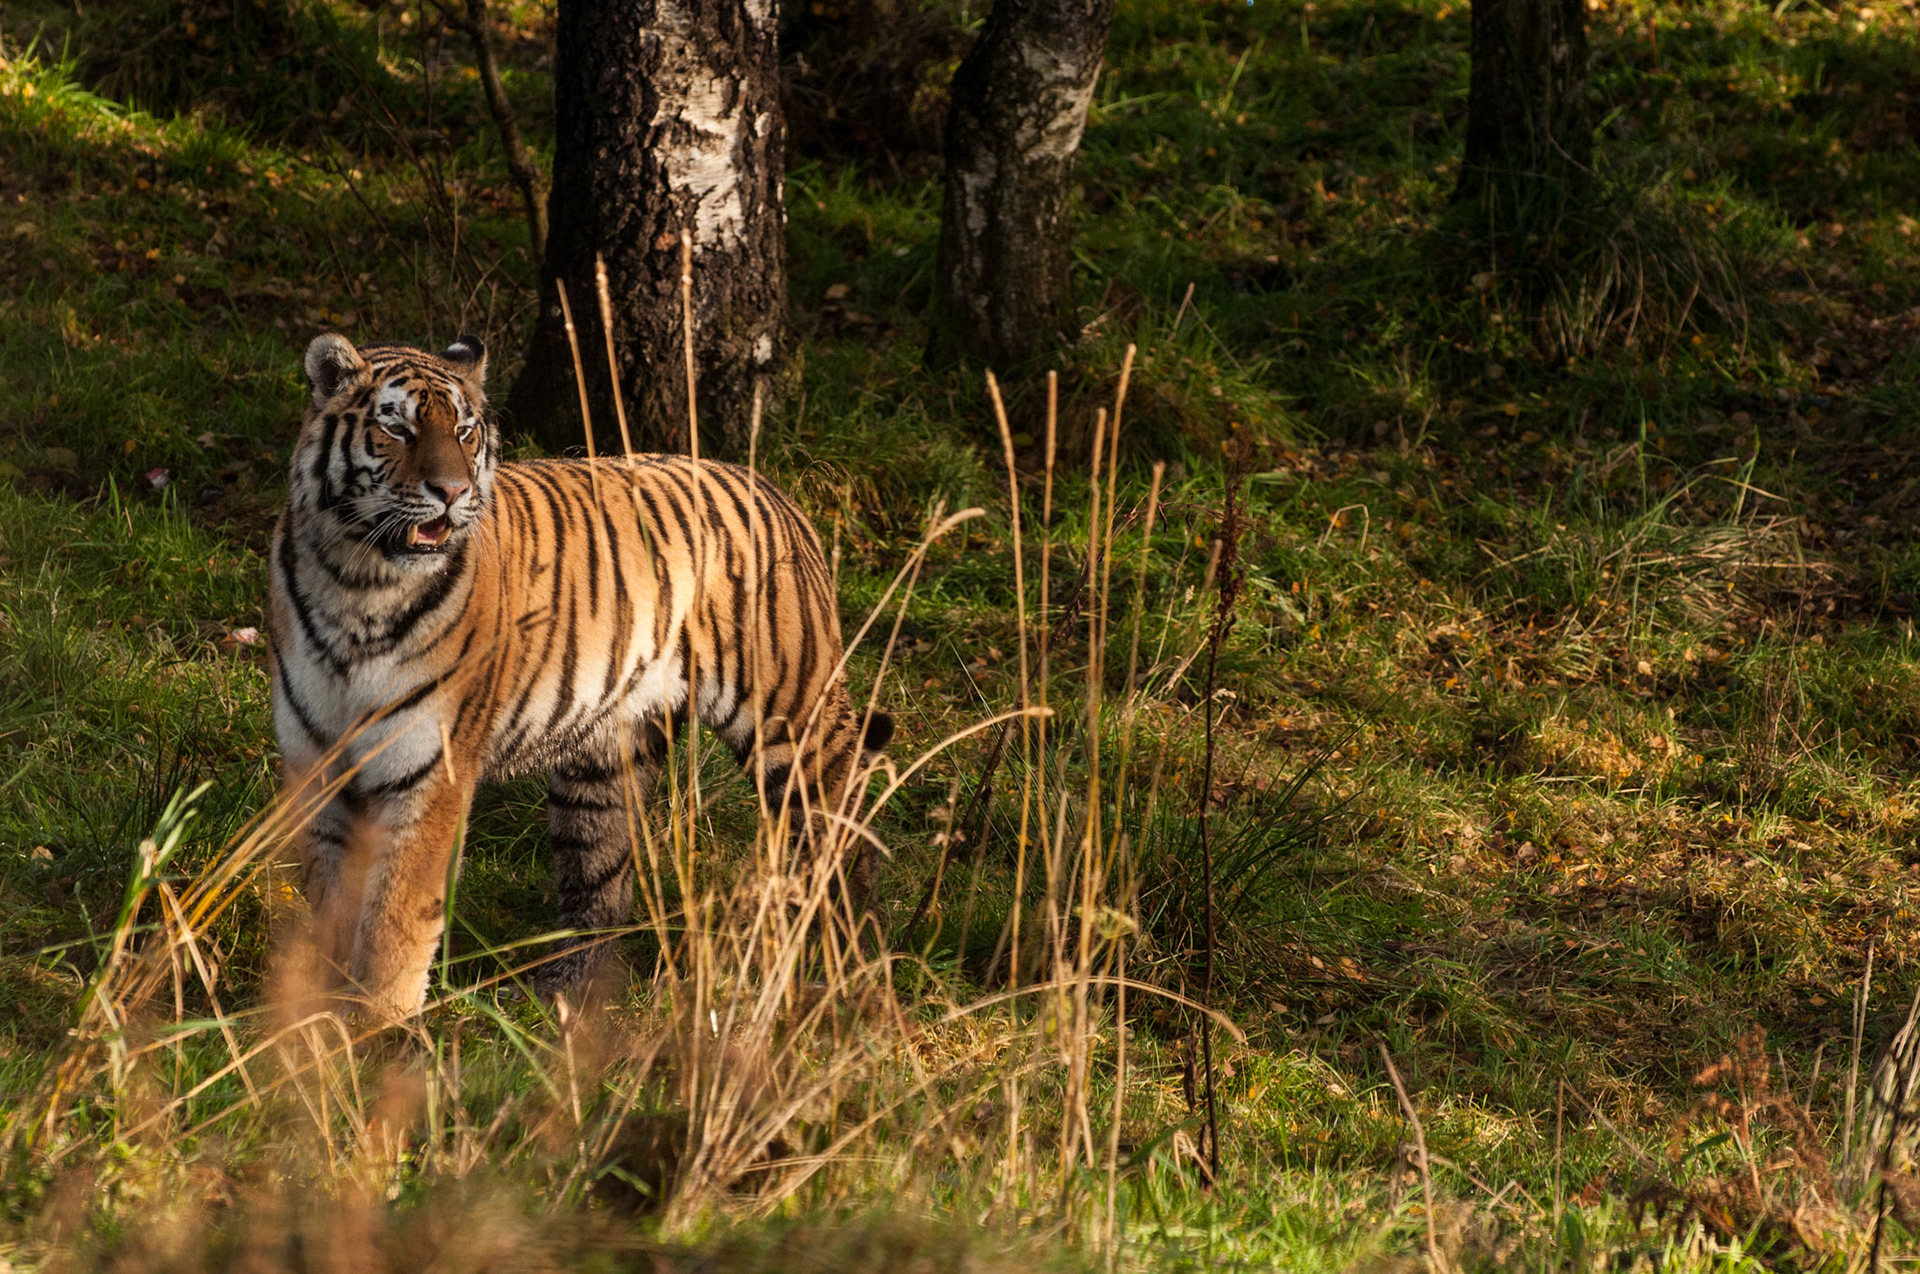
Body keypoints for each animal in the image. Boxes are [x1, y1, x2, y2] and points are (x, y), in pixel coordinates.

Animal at [268, 333, 893, 1022]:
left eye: (463, 430)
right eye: (397, 428)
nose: (452, 491)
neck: (359, 583)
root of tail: (770, 487)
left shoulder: (429, 770)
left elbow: (395, 916)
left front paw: (378, 1025)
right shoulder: (317, 764)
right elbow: (331, 899)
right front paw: (316, 1016)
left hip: (791, 719)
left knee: (847, 821)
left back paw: (847, 962)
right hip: (602, 763)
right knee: (602, 884)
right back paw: (562, 993)